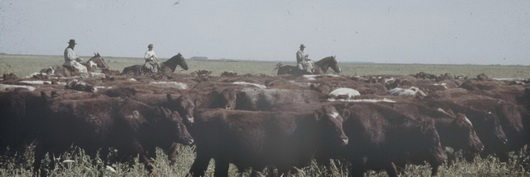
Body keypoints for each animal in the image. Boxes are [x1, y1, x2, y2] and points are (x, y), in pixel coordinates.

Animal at [189, 106, 346, 176]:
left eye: (341, 121)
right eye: (329, 123)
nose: (345, 139)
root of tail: (201, 113)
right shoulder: (283, 165)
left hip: (214, 158)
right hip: (210, 157)